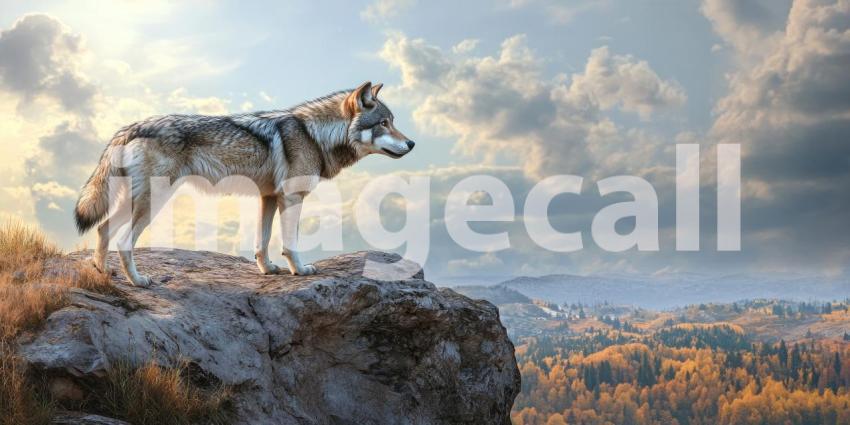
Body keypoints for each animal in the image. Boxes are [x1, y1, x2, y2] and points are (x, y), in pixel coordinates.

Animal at [74, 82, 414, 287]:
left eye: (393, 122)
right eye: (384, 123)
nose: (411, 143)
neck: (314, 135)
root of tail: (130, 127)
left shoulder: (269, 197)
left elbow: (262, 242)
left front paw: (268, 270)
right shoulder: (292, 197)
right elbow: (290, 243)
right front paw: (300, 270)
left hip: (135, 201)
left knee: (102, 229)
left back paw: (103, 273)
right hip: (153, 201)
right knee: (122, 240)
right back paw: (138, 281)